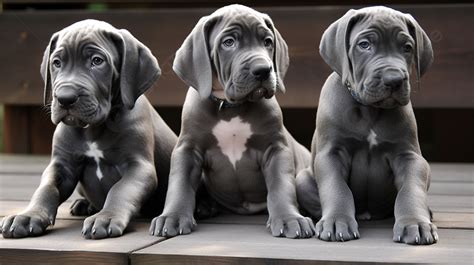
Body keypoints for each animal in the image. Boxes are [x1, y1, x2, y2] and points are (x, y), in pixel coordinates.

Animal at [0, 19, 178, 238]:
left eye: (97, 61)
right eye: (56, 63)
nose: (65, 98)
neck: (92, 129)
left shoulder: (139, 166)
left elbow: (121, 189)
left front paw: (106, 217)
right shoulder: (62, 165)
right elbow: (45, 189)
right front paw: (28, 215)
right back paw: (85, 205)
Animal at [149, 4, 314, 237]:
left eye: (267, 42)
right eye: (228, 42)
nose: (263, 69)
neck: (230, 107)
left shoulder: (275, 148)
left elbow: (282, 185)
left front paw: (290, 219)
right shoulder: (188, 149)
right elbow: (179, 183)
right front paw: (172, 217)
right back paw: (204, 206)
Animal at [298, 6, 438, 244]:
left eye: (407, 47)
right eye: (364, 45)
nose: (394, 79)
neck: (370, 110)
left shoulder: (410, 157)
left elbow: (411, 190)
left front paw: (415, 223)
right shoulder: (332, 153)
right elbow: (337, 188)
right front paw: (336, 221)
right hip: (302, 178)